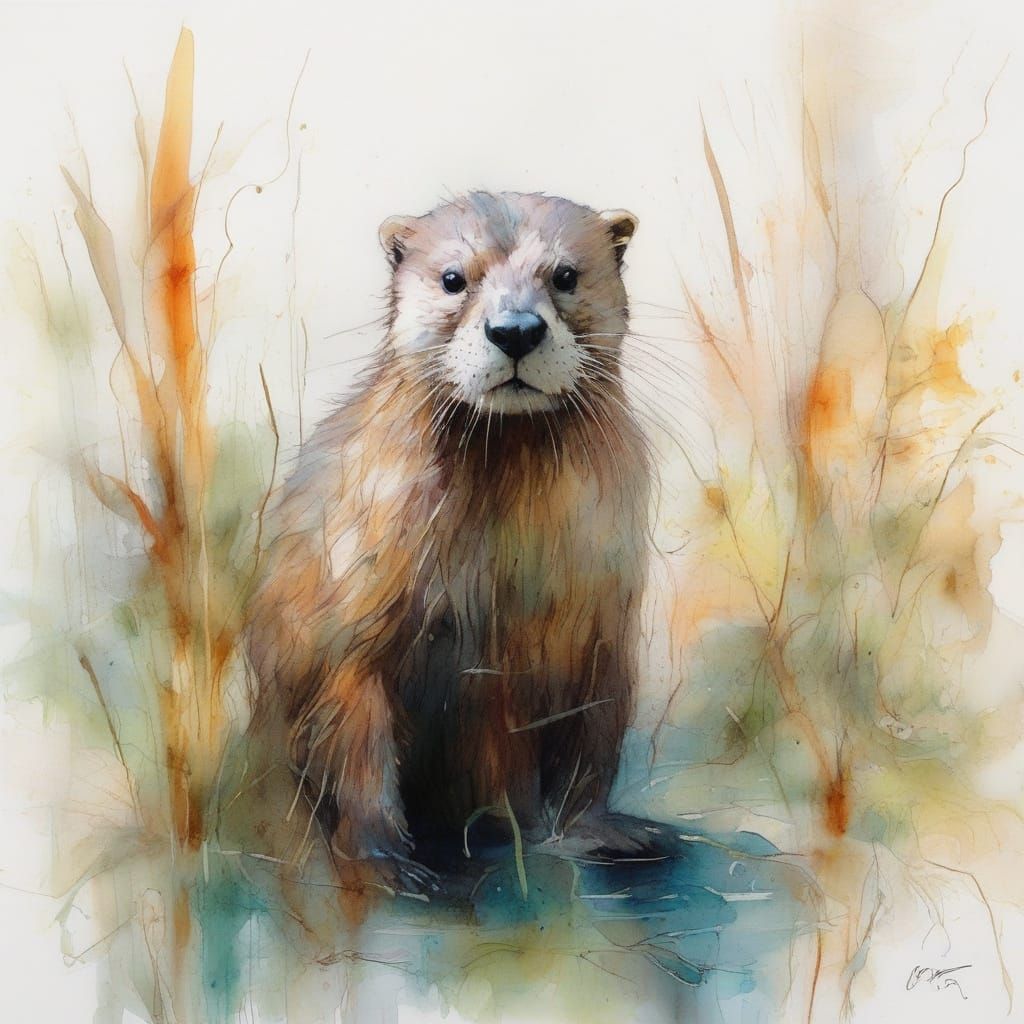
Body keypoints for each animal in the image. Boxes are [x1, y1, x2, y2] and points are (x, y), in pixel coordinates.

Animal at [247, 191, 652, 891]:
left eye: (565, 275)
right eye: (454, 279)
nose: (515, 330)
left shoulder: (600, 616)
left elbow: (593, 735)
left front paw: (595, 831)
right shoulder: (348, 617)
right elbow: (357, 739)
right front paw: (384, 858)